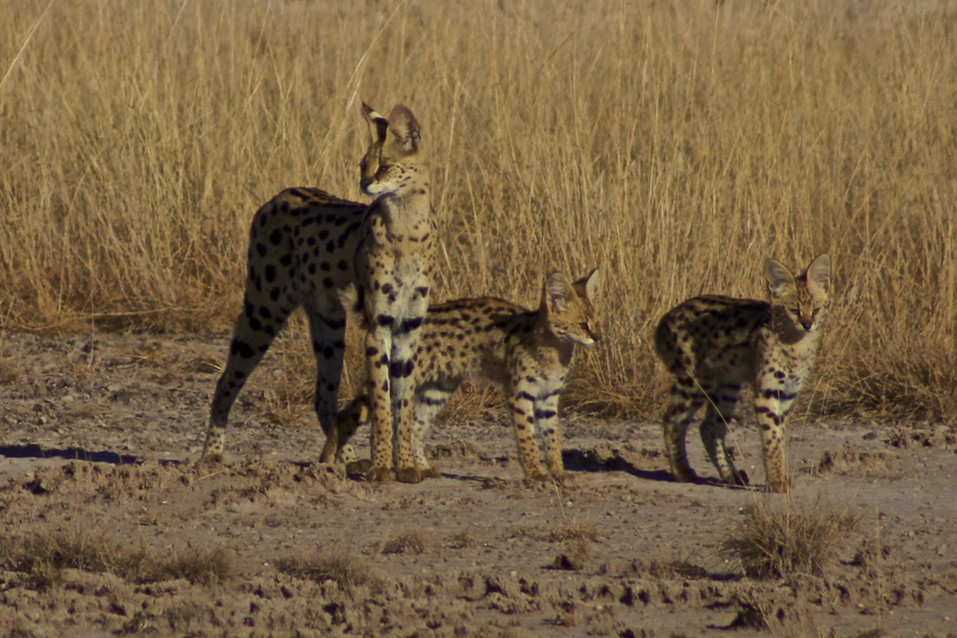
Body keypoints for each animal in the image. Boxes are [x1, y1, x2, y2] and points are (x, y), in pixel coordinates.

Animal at [202, 102, 434, 468]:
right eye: (362, 164)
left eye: (384, 165)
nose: (364, 183)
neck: (406, 225)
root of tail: (279, 195)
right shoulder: (379, 324)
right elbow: (382, 399)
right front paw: (383, 464)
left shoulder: (409, 326)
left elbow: (404, 400)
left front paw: (406, 465)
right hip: (263, 309)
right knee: (226, 380)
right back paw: (211, 454)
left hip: (329, 324)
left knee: (323, 397)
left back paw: (344, 459)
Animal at [324, 270, 600, 484]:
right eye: (583, 324)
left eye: (596, 322)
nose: (597, 337)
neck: (555, 349)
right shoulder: (519, 394)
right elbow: (528, 437)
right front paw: (536, 474)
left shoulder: (548, 397)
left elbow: (552, 438)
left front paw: (559, 473)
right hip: (398, 380)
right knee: (349, 413)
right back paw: (329, 461)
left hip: (438, 390)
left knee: (413, 424)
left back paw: (420, 467)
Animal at [652, 256, 832, 496]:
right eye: (794, 310)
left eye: (816, 309)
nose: (807, 324)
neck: (796, 343)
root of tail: (665, 319)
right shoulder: (767, 393)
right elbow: (772, 438)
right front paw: (776, 482)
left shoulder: (787, 394)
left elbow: (780, 436)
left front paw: (780, 476)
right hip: (696, 382)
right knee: (673, 418)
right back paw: (681, 471)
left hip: (728, 387)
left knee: (709, 427)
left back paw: (731, 475)